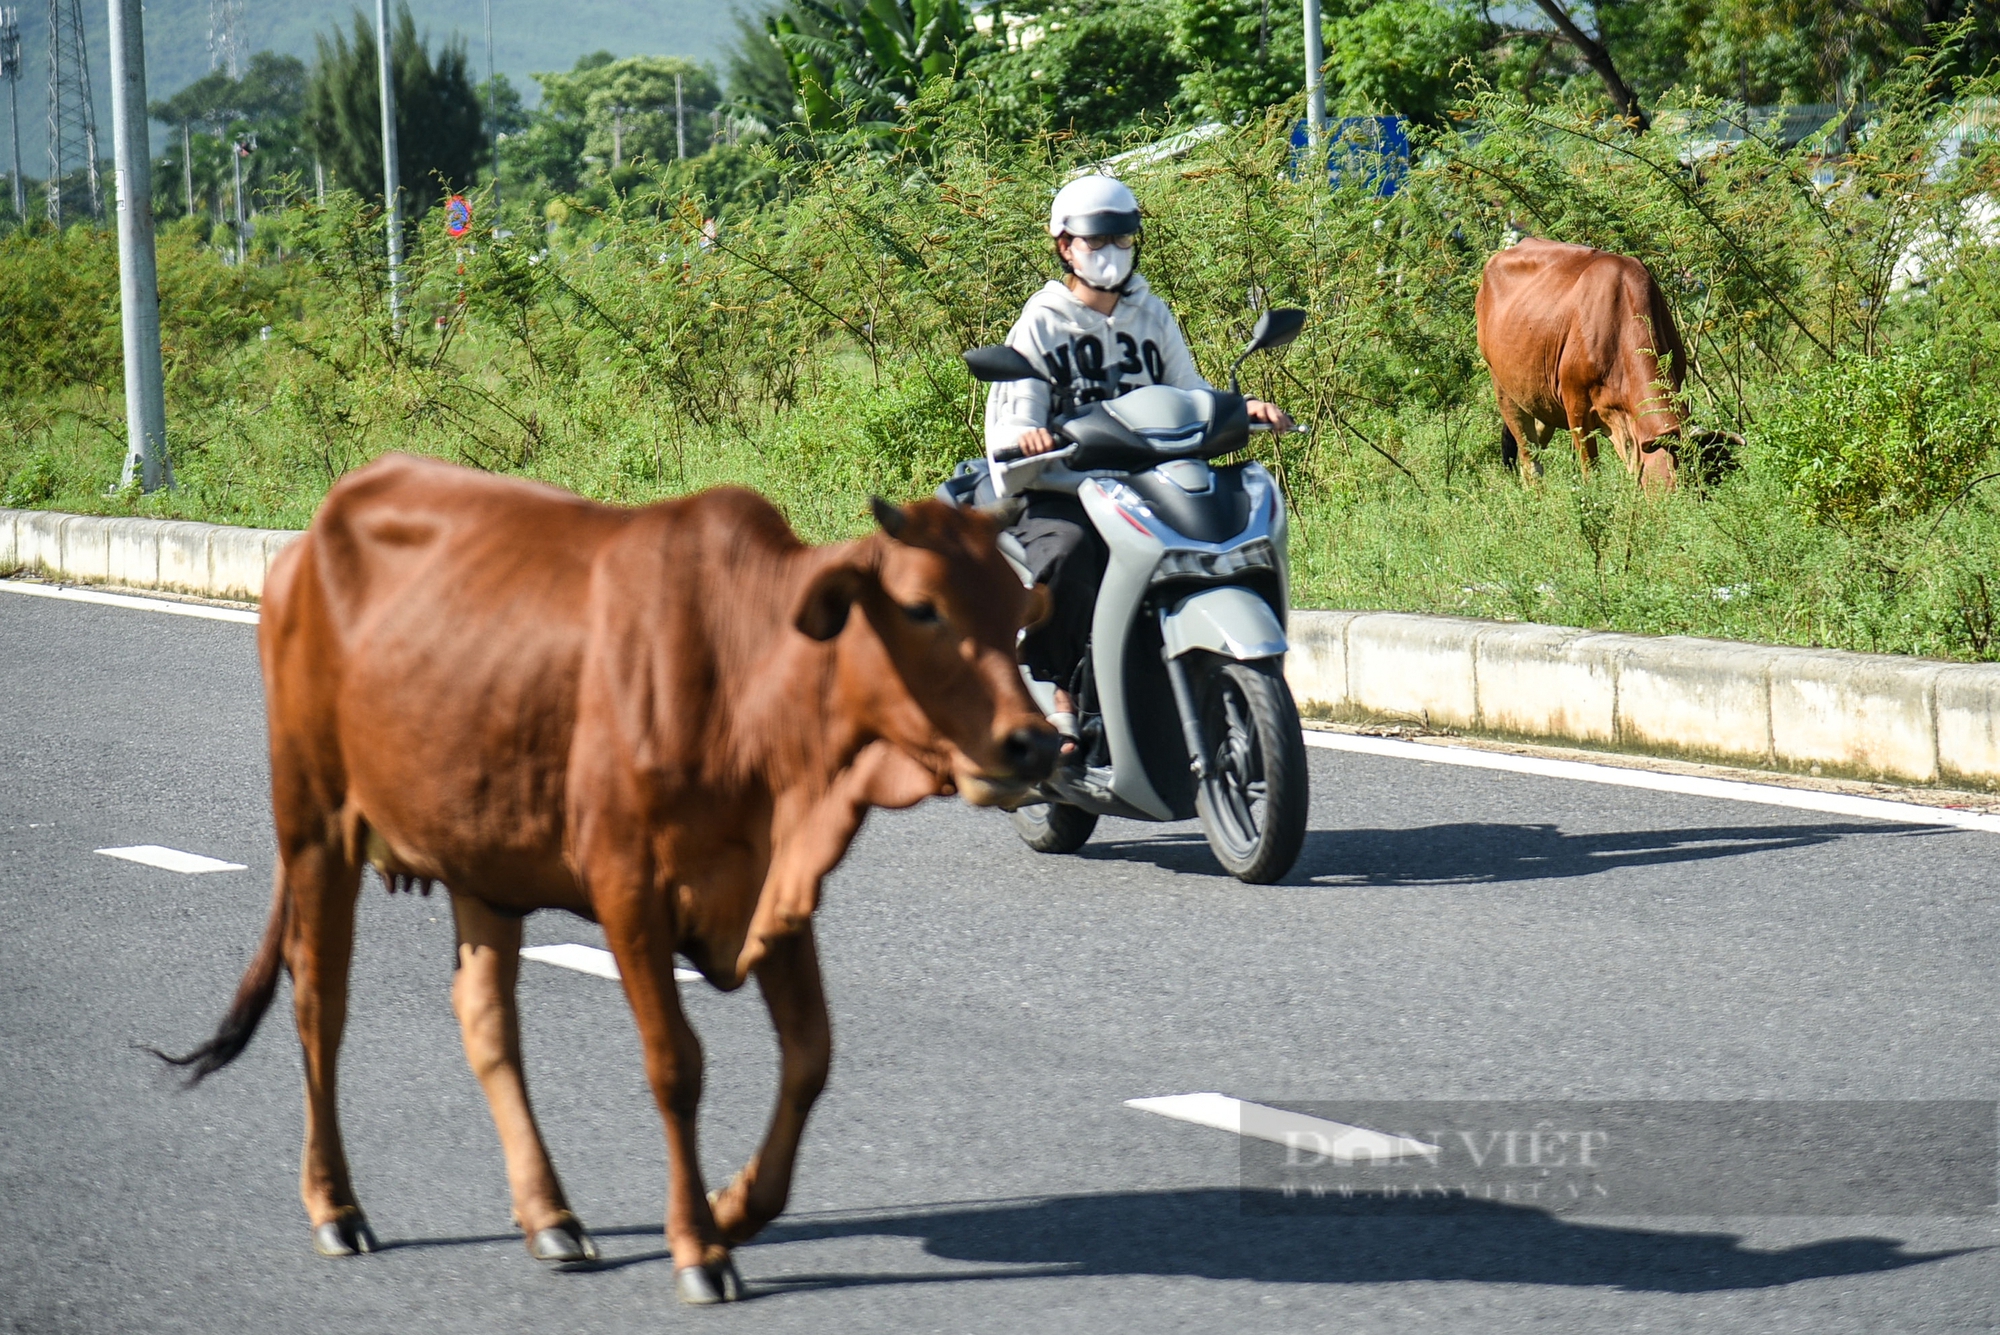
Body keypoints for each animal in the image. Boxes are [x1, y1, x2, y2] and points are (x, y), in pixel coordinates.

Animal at [156, 455, 1064, 1303]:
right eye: (922, 606)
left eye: (1017, 610)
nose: (1033, 743)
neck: (747, 680)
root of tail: (312, 537)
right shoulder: (630, 888)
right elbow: (677, 1066)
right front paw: (698, 1245)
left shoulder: (775, 893)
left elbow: (811, 1056)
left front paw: (733, 1206)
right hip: (315, 823)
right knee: (319, 1002)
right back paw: (336, 1205)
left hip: (482, 850)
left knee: (486, 1019)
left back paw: (549, 1215)